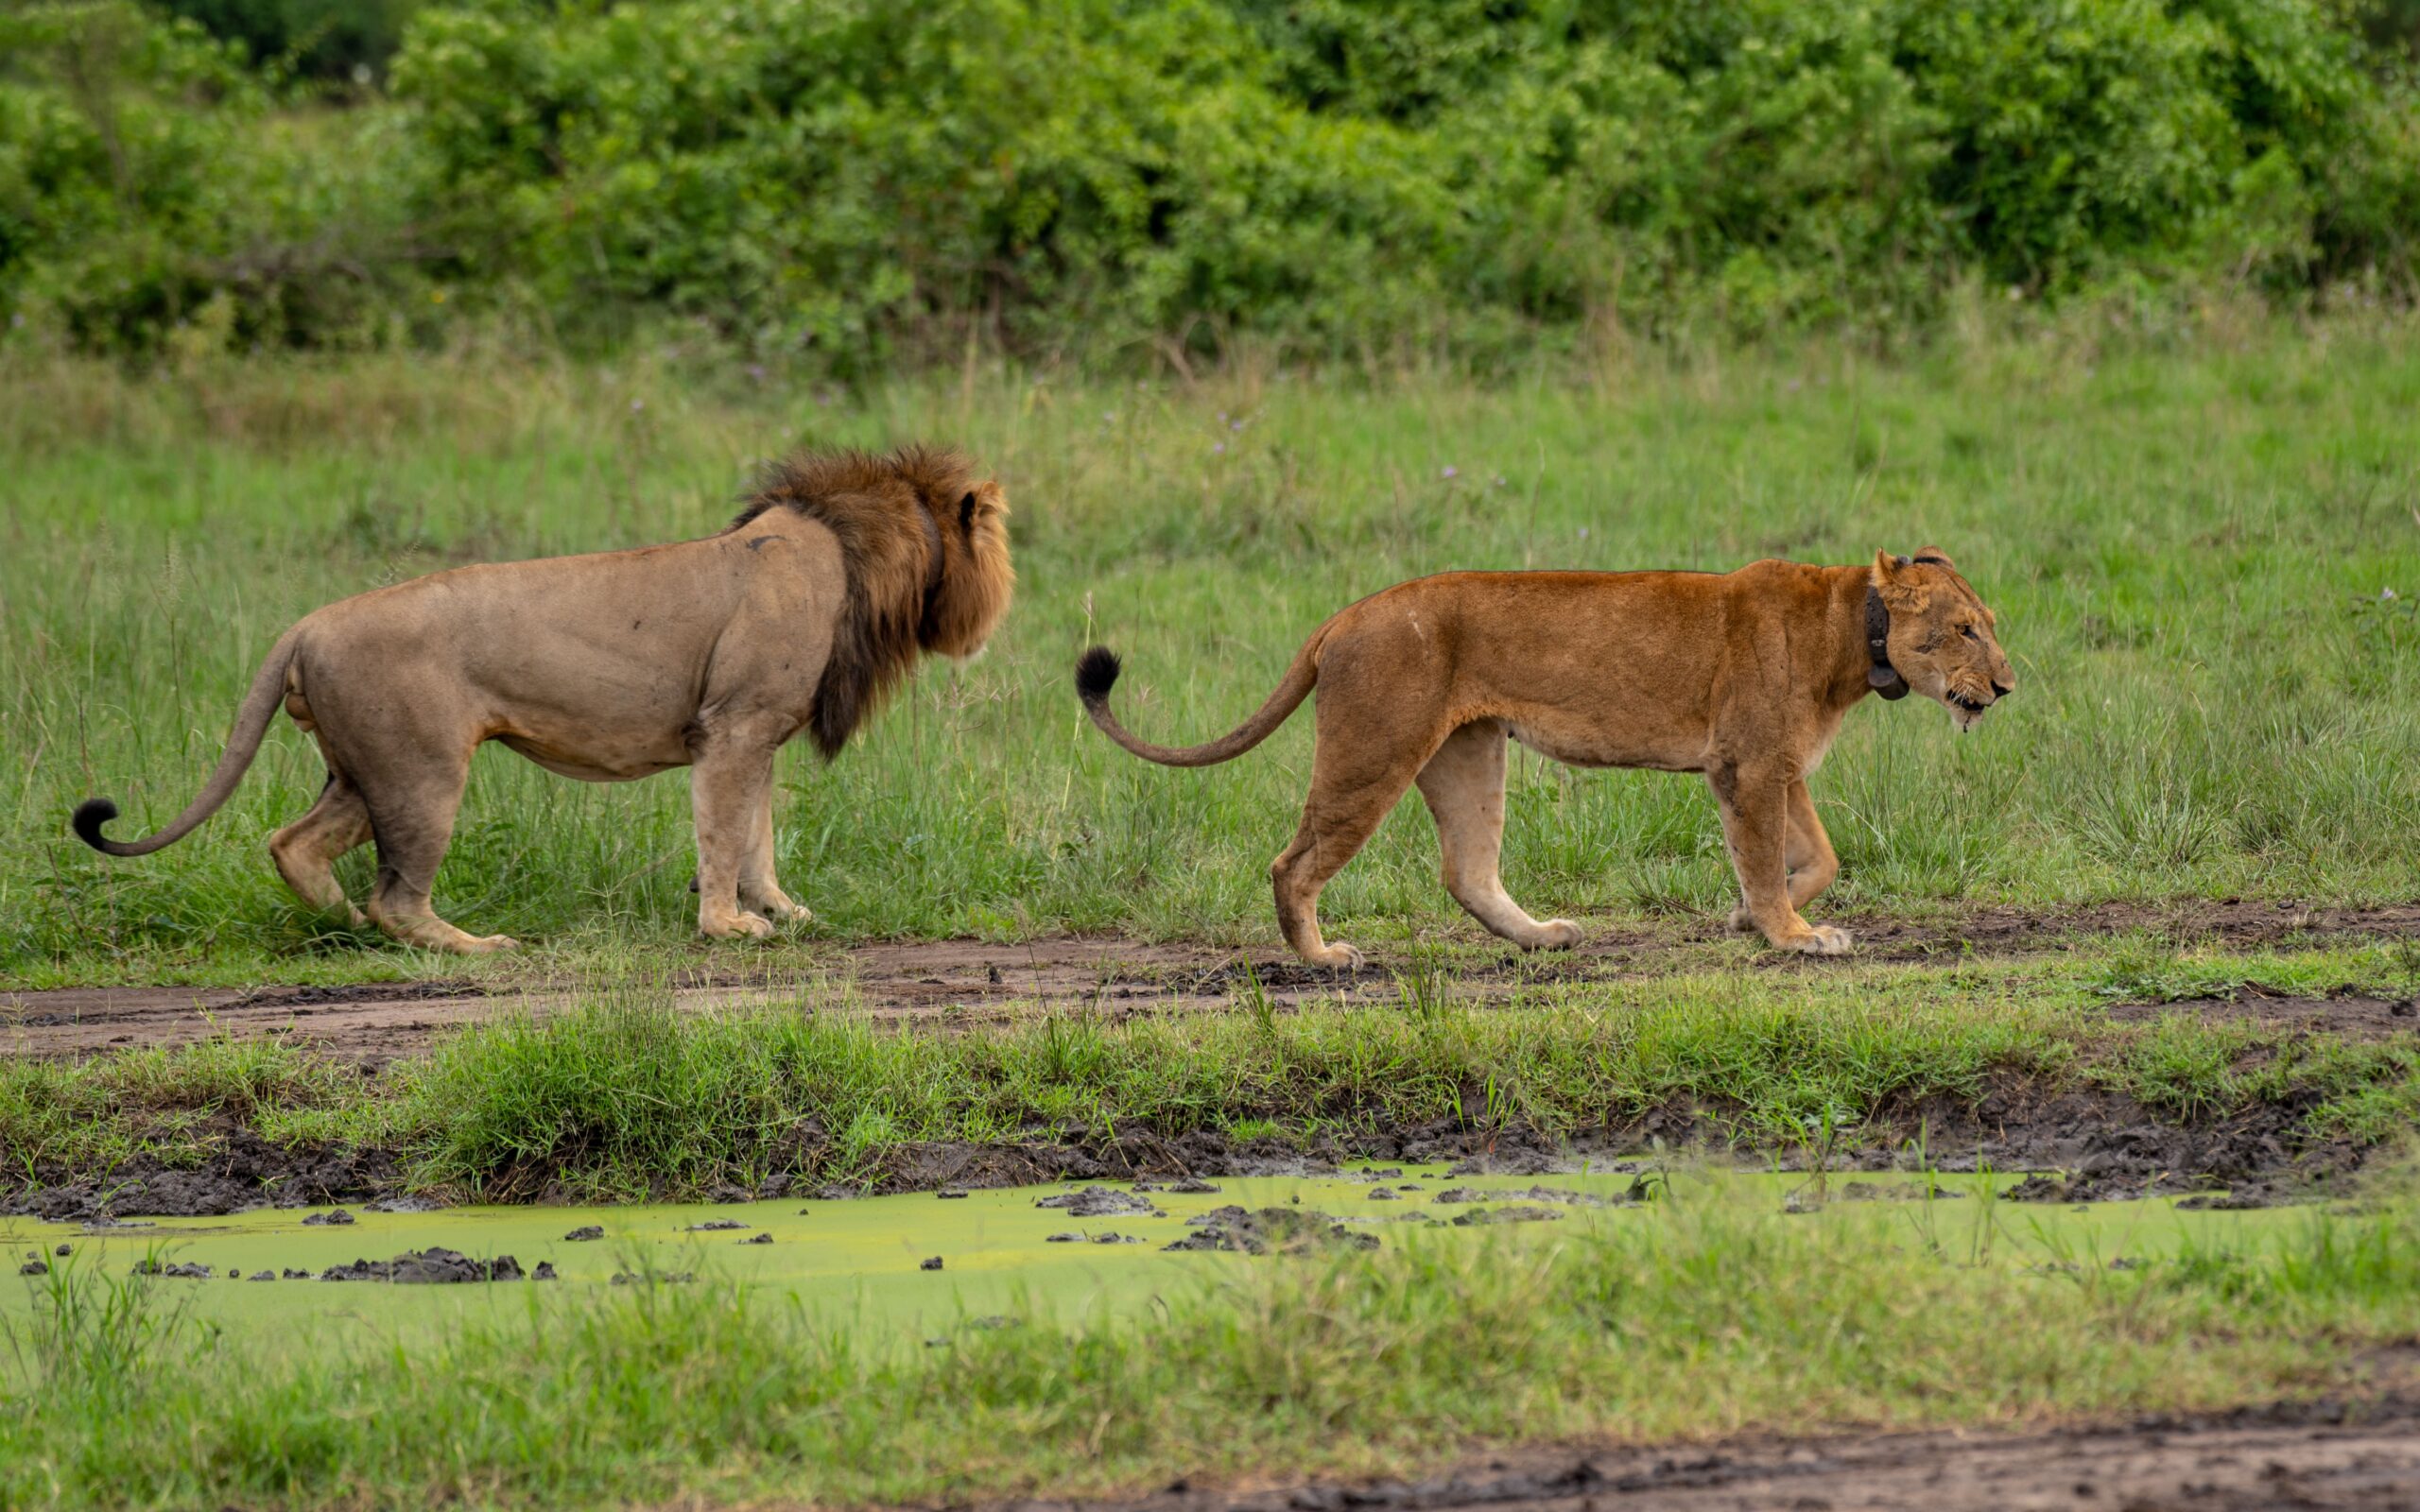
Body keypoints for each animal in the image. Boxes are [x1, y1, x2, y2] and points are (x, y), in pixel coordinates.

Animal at [78, 442, 1011, 948]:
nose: (1004, 606)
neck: (851, 553)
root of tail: (304, 625)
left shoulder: (758, 734)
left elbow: (759, 838)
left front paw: (785, 911)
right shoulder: (732, 729)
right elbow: (724, 834)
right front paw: (729, 926)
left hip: (361, 770)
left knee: (293, 845)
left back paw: (344, 928)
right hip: (421, 774)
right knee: (397, 894)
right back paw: (474, 945)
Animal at [1079, 549, 2003, 962]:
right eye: (1965, 629)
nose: (2007, 685)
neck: (1854, 631)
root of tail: (1344, 615)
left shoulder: (1775, 767)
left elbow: (1818, 857)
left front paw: (1750, 918)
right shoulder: (1743, 764)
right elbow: (1770, 859)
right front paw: (1790, 936)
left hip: (1468, 753)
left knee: (1466, 869)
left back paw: (1540, 936)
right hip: (1373, 749)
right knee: (1293, 861)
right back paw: (1321, 957)